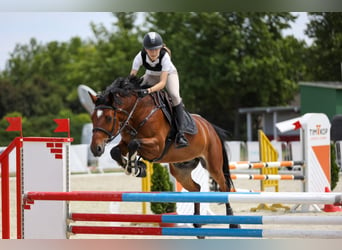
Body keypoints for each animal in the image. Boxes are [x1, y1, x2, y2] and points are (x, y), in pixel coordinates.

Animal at [88, 75, 239, 230]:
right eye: (92, 117)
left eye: (108, 118)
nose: (95, 148)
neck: (138, 113)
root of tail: (210, 127)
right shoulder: (125, 142)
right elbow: (115, 151)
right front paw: (134, 167)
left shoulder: (157, 146)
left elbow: (134, 144)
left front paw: (135, 167)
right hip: (180, 170)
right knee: (196, 188)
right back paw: (197, 223)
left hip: (213, 165)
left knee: (224, 186)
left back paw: (233, 223)